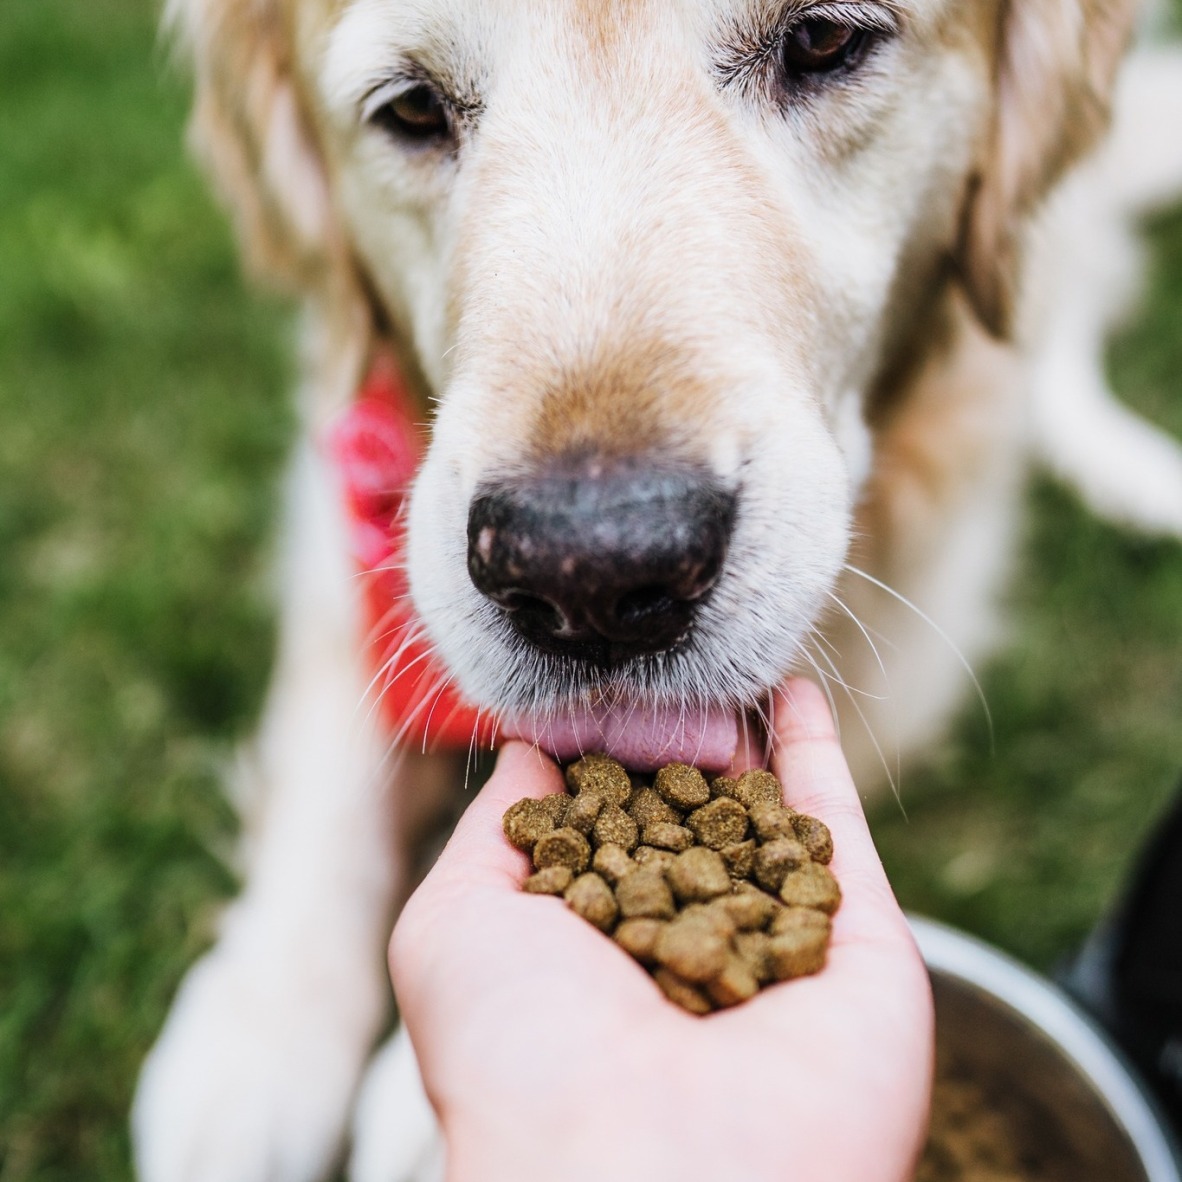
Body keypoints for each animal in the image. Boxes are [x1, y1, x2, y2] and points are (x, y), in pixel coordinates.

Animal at [129, 0, 1182, 1177]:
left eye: (823, 42)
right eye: (411, 109)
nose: (589, 570)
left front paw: (414, 1104)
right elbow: (332, 744)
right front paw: (260, 1034)